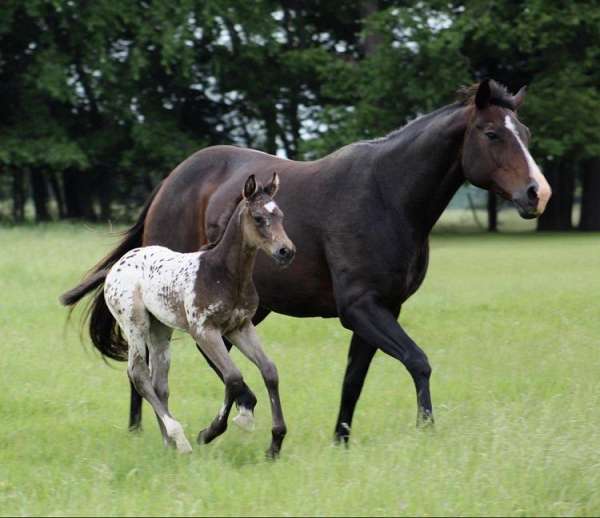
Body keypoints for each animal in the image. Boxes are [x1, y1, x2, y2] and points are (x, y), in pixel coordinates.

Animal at [103, 174, 296, 456]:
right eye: (259, 217)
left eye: (280, 215)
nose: (286, 251)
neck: (225, 274)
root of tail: (119, 264)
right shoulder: (204, 331)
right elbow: (233, 378)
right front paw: (209, 432)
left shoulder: (240, 327)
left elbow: (269, 370)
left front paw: (275, 442)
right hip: (134, 324)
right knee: (138, 374)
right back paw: (180, 440)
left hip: (160, 329)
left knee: (159, 383)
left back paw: (169, 443)